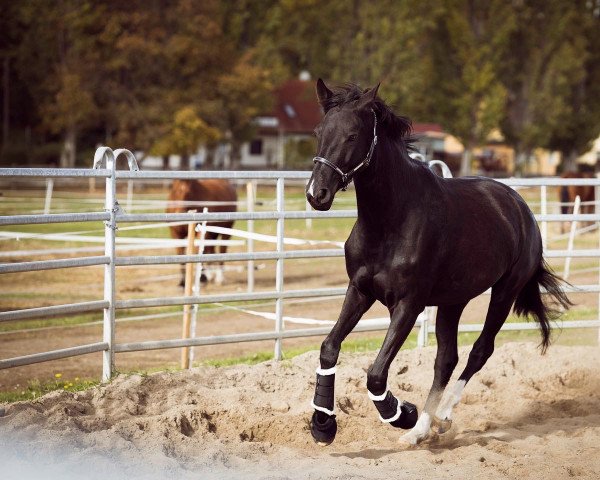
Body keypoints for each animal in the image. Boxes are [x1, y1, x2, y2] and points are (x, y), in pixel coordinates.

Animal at [308, 79, 568, 446]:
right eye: (319, 131)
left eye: (352, 135)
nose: (317, 194)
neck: (391, 220)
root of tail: (520, 207)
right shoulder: (359, 290)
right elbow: (329, 347)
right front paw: (323, 424)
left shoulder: (408, 304)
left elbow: (376, 374)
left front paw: (403, 413)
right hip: (452, 301)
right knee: (446, 359)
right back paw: (421, 431)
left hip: (505, 292)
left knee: (480, 350)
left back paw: (439, 418)